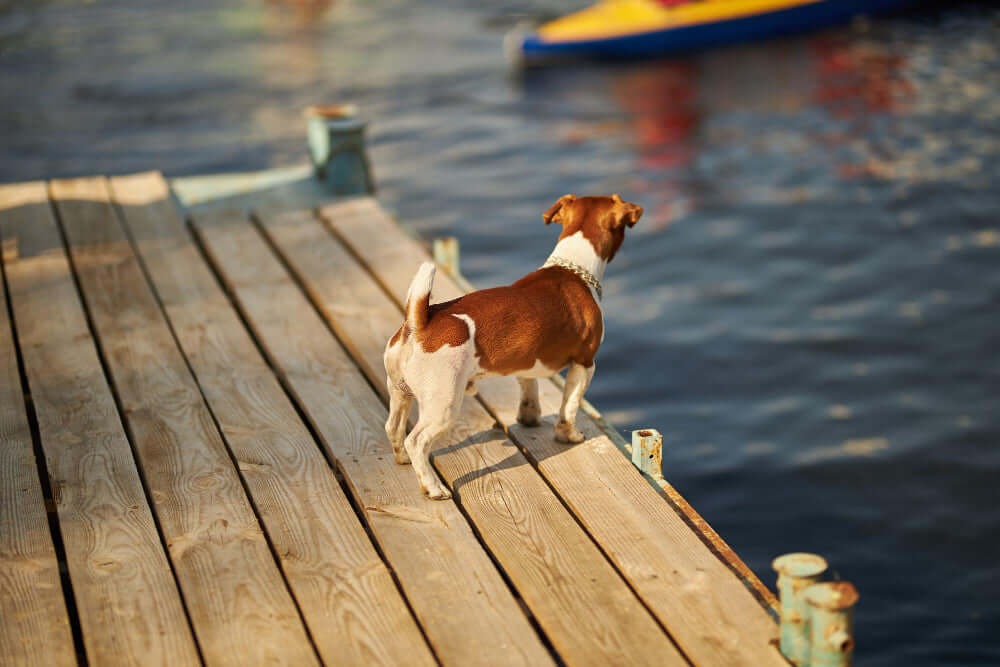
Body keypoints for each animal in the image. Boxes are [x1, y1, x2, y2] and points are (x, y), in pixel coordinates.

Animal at [382, 192, 640, 496]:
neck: (573, 267)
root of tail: (419, 322)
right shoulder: (584, 364)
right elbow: (569, 407)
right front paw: (569, 435)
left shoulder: (525, 362)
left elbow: (529, 390)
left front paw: (529, 418)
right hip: (443, 406)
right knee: (417, 441)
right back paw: (433, 488)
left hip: (400, 391)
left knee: (394, 428)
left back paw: (402, 459)